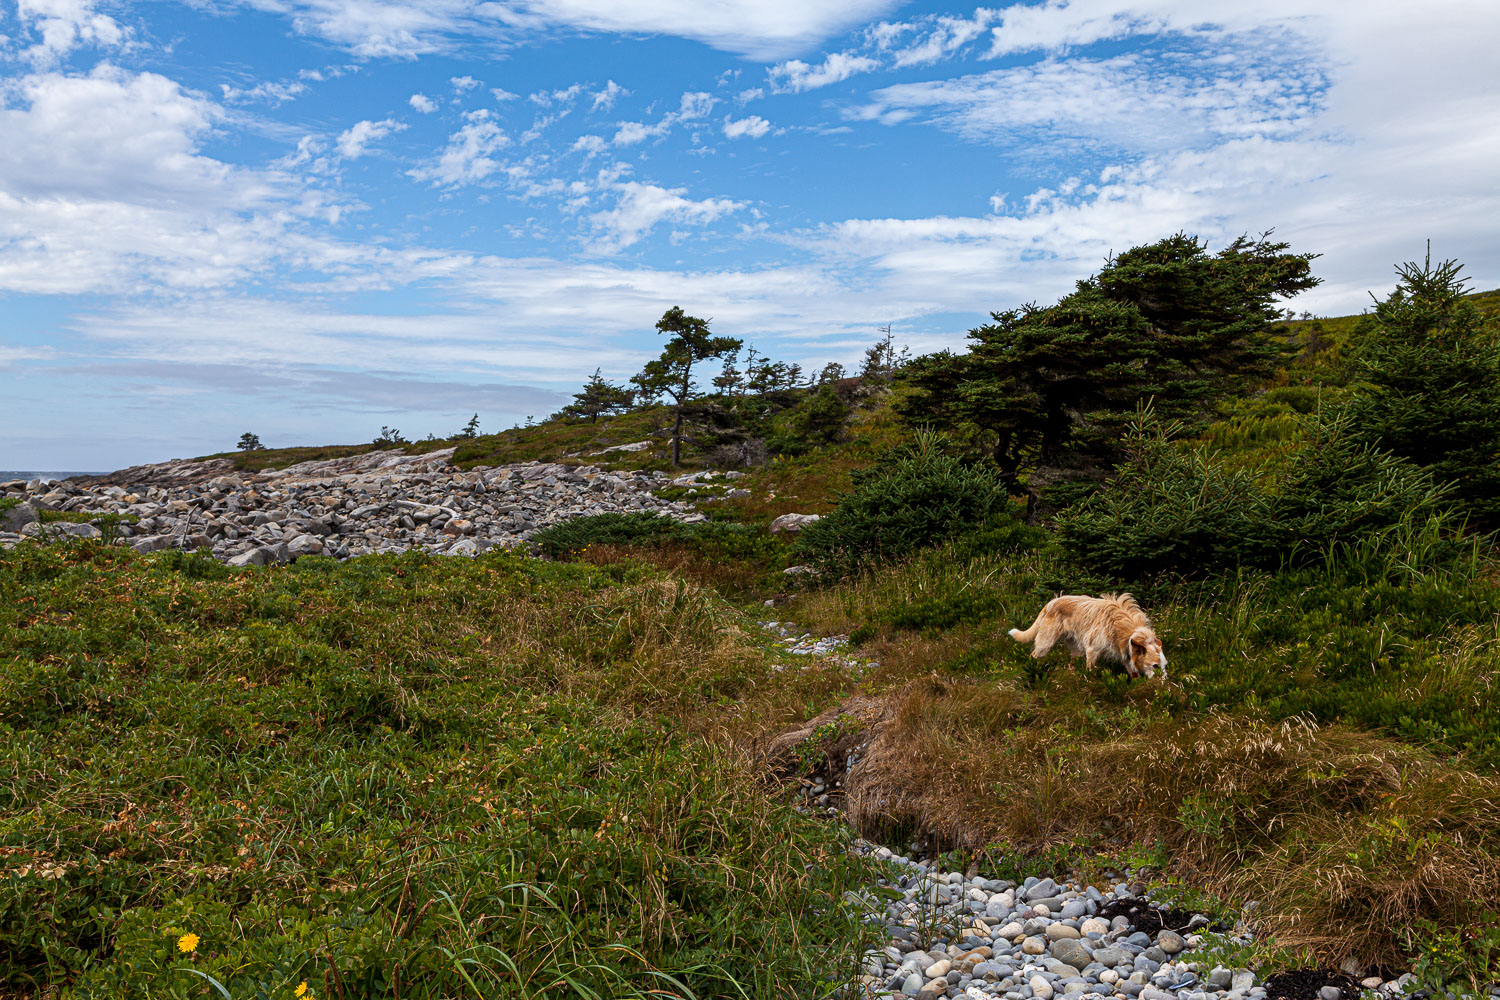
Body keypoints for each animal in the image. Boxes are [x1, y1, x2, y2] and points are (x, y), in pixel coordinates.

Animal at [1014, 593, 1164, 680]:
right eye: (1155, 665)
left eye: (1164, 665)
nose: (1162, 684)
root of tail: (1053, 601)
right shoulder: (1092, 650)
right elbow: (1090, 672)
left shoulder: (1126, 655)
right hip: (1046, 643)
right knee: (1034, 655)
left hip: (1076, 649)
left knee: (1071, 664)